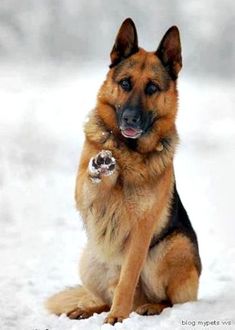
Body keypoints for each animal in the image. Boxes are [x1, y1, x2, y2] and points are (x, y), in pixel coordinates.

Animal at [45, 18, 200, 324]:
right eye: (125, 83)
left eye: (152, 88)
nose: (129, 119)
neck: (128, 152)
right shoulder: (84, 197)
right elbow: (91, 181)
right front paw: (102, 165)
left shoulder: (141, 231)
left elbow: (127, 279)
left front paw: (118, 317)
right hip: (89, 260)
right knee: (103, 297)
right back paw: (85, 308)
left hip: (170, 249)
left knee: (165, 300)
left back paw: (148, 307)